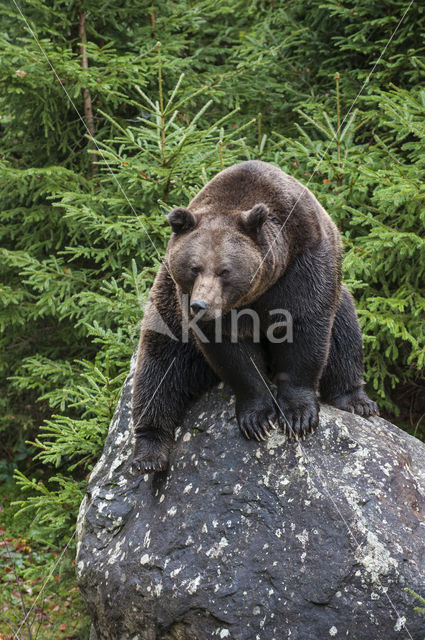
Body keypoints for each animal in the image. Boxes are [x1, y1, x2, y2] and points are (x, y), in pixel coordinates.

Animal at [131, 161, 376, 470]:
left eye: (224, 270)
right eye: (194, 267)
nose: (201, 305)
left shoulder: (304, 264)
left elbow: (304, 329)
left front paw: (298, 416)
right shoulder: (204, 309)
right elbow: (233, 354)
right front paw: (257, 419)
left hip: (339, 295)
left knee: (345, 335)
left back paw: (357, 401)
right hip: (168, 312)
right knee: (158, 369)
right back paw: (149, 453)